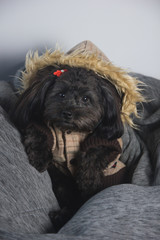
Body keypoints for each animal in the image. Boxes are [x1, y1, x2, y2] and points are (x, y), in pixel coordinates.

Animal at [12, 66, 125, 232]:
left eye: (86, 99)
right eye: (61, 95)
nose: (67, 113)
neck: (72, 130)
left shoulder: (107, 142)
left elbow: (95, 152)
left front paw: (88, 180)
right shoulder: (39, 124)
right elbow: (37, 132)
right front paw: (39, 158)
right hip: (62, 183)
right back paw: (60, 216)